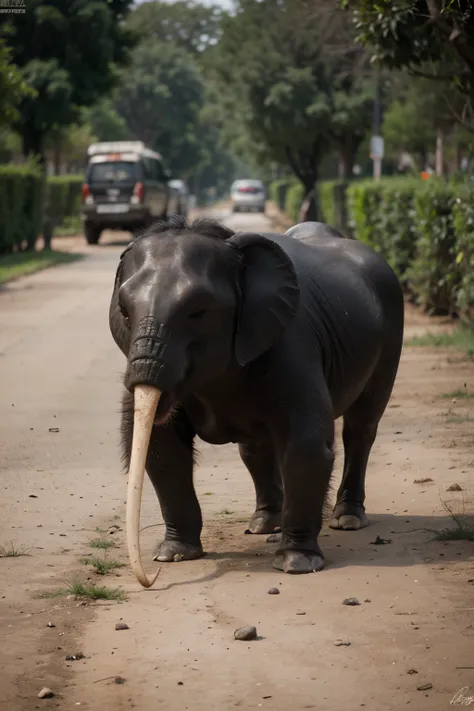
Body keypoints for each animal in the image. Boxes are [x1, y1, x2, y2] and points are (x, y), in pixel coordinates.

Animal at [110, 216, 404, 588]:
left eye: (198, 311)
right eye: (124, 310)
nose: (149, 578)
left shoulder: (293, 343)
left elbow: (305, 443)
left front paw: (297, 564)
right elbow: (163, 449)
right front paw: (174, 554)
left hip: (390, 336)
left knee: (360, 428)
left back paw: (346, 520)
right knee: (255, 448)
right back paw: (264, 525)